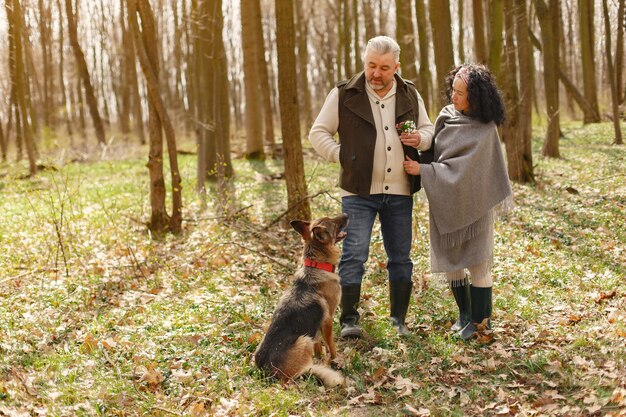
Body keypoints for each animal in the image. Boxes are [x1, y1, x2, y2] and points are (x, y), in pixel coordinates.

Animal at [255, 214, 352, 386]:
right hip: (303, 340)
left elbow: (319, 344)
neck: (316, 265)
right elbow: (331, 345)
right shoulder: (328, 320)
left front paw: (321, 357)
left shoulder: (316, 327)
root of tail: (265, 372)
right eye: (333, 222)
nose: (346, 215)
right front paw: (335, 360)